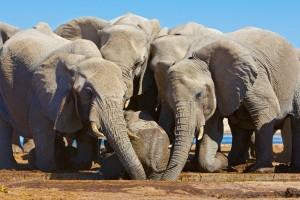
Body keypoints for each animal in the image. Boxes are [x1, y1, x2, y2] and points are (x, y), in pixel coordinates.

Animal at [0, 22, 146, 180]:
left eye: (124, 94)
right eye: (88, 92)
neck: (82, 60)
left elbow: (85, 131)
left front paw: (77, 163)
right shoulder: (42, 93)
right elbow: (42, 127)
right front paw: (50, 166)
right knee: (4, 125)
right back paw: (11, 166)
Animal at [157, 26, 300, 180]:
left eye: (199, 95)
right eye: (170, 102)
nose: (165, 180)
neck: (196, 58)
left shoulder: (255, 75)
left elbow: (266, 108)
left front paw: (260, 170)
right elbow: (212, 127)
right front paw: (222, 161)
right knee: (240, 124)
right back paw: (235, 162)